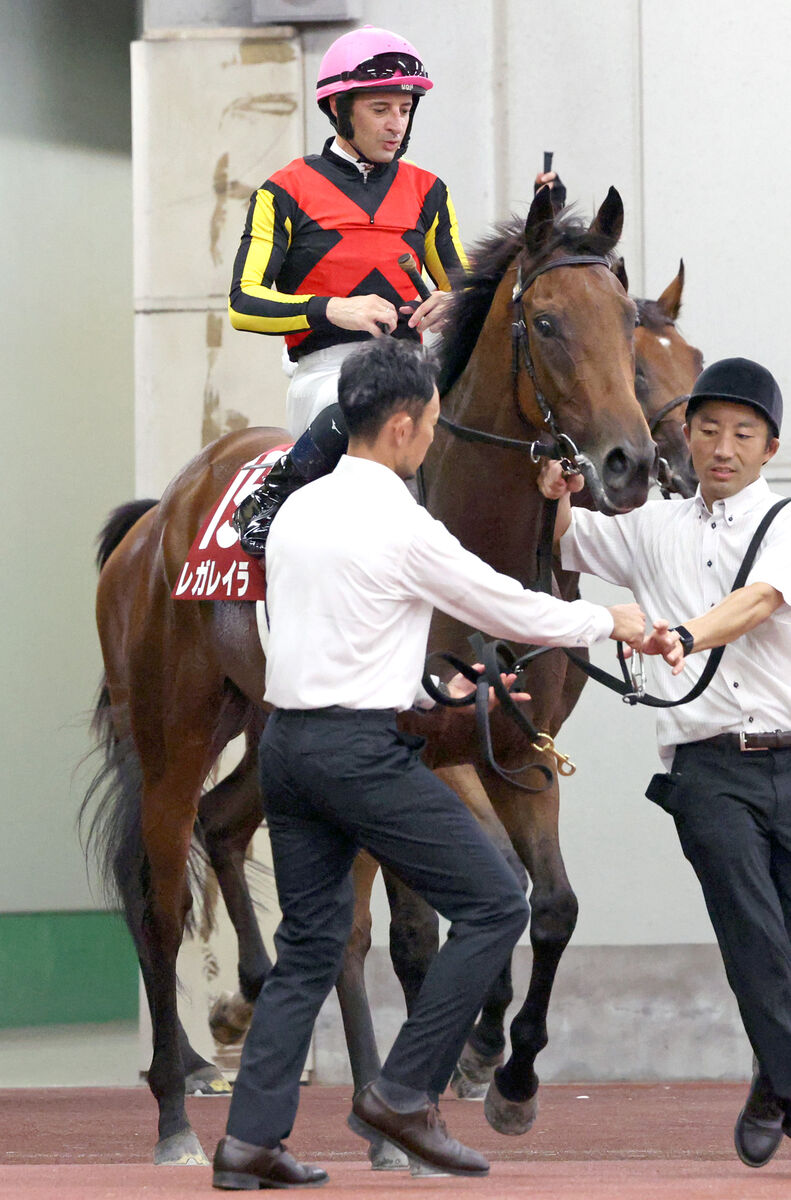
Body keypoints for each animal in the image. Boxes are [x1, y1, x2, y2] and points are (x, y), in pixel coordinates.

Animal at [83, 184, 657, 1161]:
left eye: (626, 320)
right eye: (545, 322)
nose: (630, 463)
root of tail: (157, 519)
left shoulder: (522, 752)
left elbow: (551, 908)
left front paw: (508, 1082)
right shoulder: (409, 756)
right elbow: (413, 936)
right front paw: (412, 1105)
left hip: (273, 730)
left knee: (227, 830)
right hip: (171, 734)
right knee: (162, 896)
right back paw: (177, 1107)